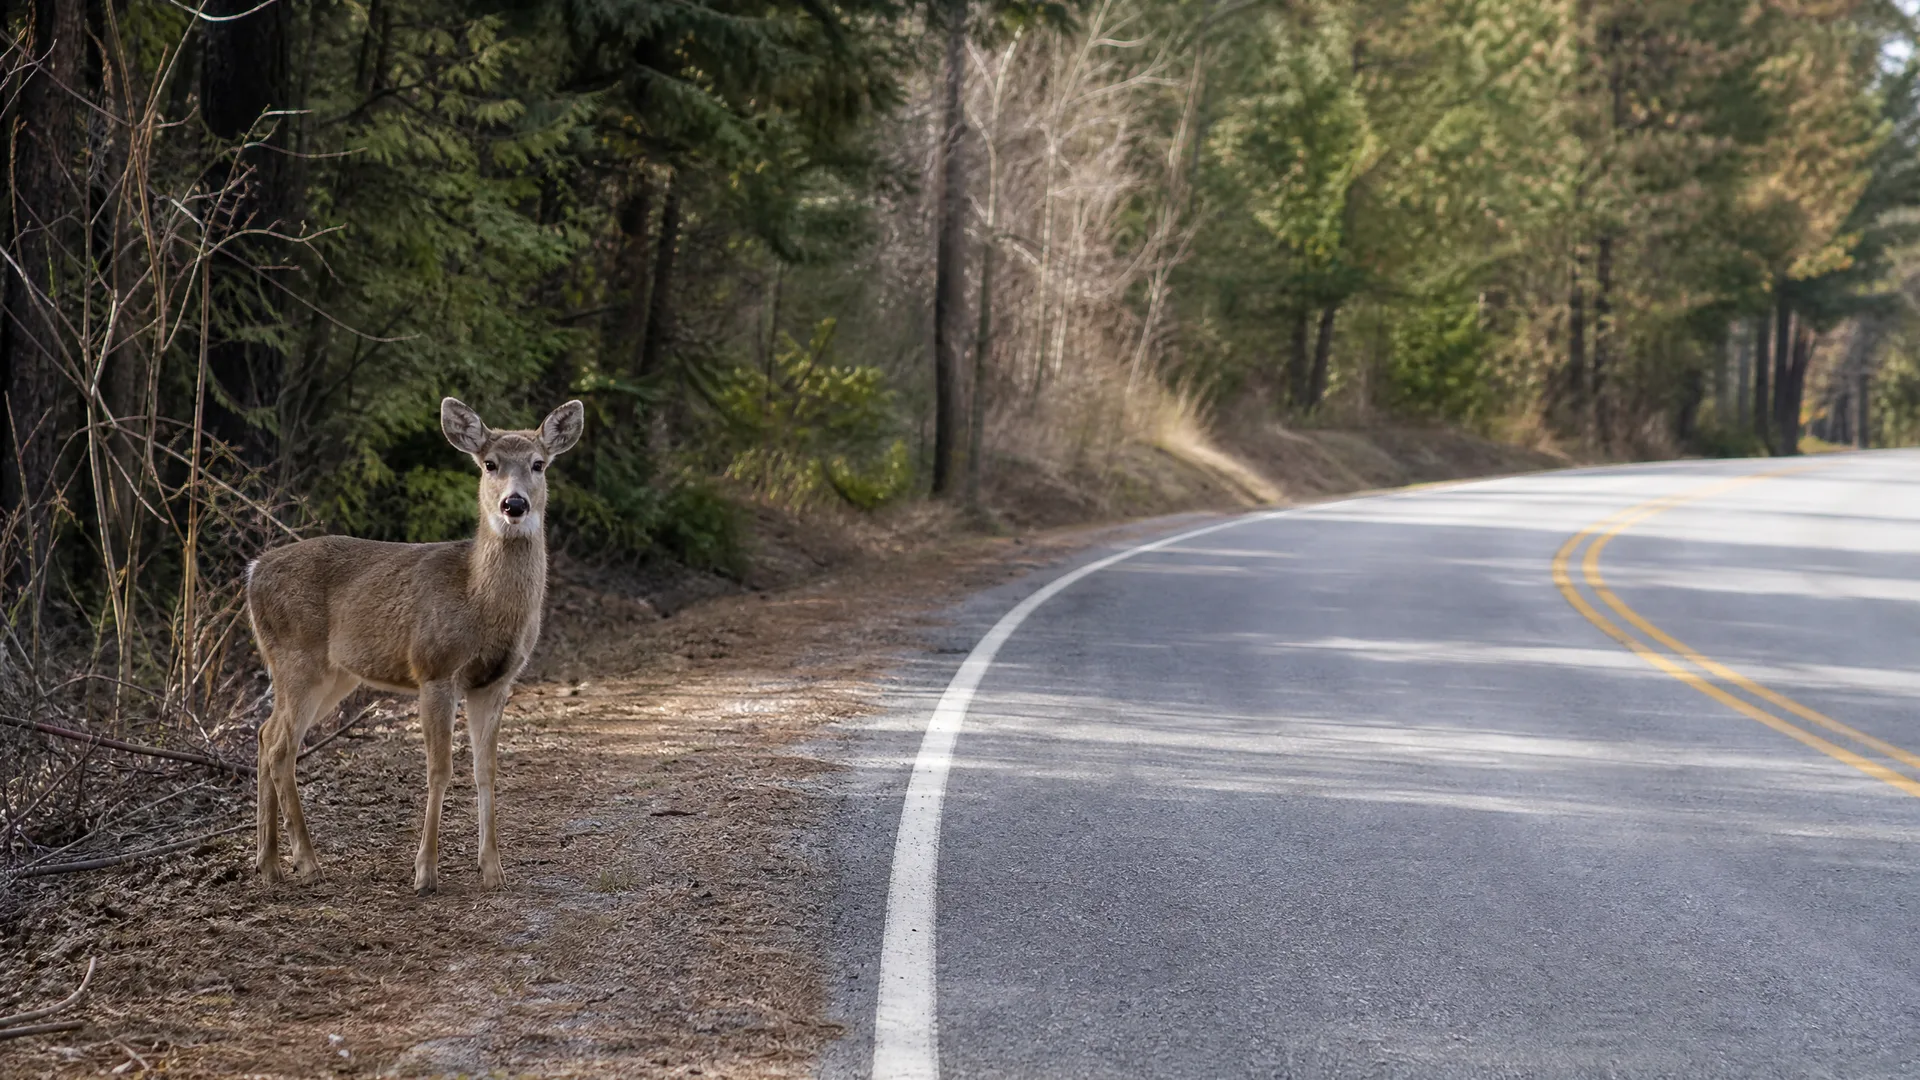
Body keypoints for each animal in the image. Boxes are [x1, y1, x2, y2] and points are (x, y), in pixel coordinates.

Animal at [247, 397, 584, 894]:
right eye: (489, 463)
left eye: (539, 464)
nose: (514, 503)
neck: (477, 597)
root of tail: (252, 572)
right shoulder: (434, 669)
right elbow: (439, 770)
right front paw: (425, 872)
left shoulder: (496, 681)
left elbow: (487, 770)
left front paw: (493, 870)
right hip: (297, 659)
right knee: (280, 746)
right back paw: (303, 862)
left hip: (334, 674)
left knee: (265, 734)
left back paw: (266, 861)